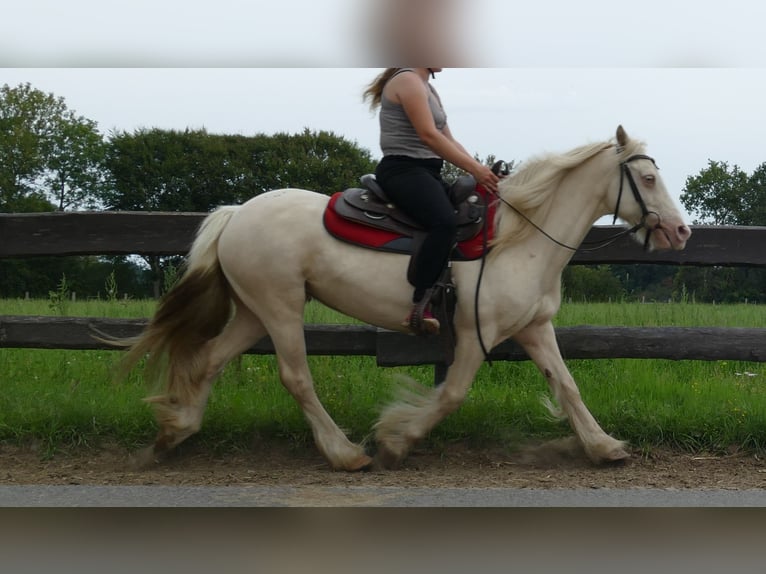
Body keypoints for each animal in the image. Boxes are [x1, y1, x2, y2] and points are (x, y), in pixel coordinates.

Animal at [115, 126, 696, 472]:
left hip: (256, 312)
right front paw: (397, 438)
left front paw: (604, 447)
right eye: (648, 177)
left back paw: (173, 432)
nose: (681, 232)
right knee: (296, 377)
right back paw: (346, 454)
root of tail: (237, 213)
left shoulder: (534, 328)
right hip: (280, 308)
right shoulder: (475, 335)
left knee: (209, 360)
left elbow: (568, 386)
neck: (521, 239)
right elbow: (452, 394)